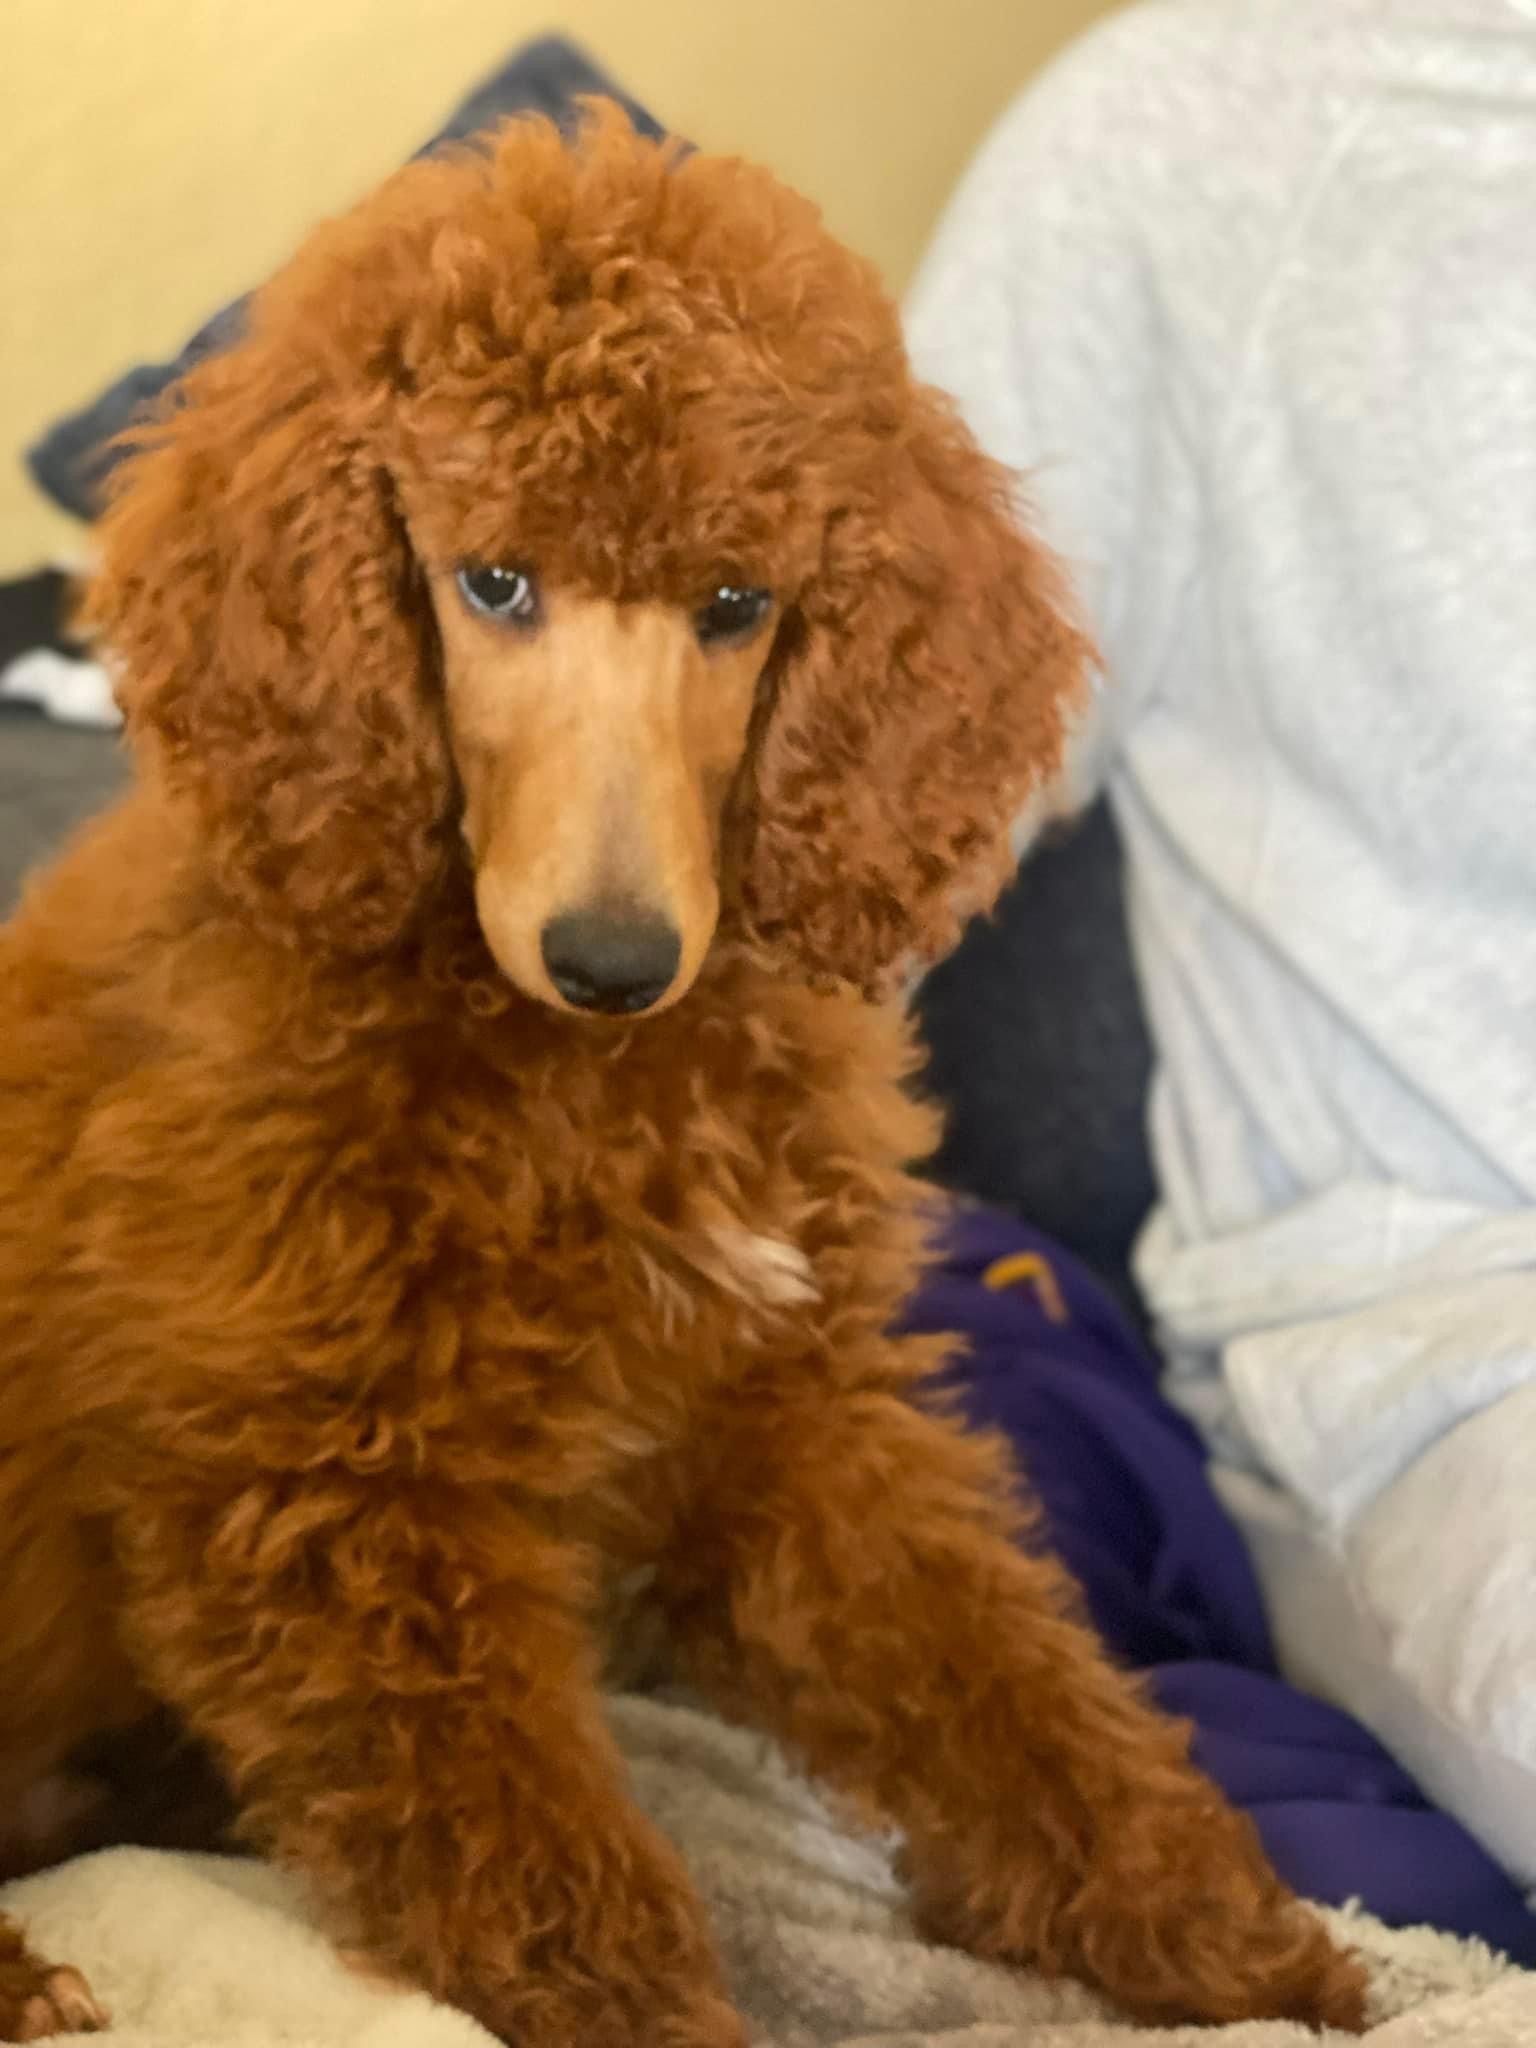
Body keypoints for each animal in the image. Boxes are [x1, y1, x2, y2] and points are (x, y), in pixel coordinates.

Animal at [0, 112, 1368, 2048]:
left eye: (736, 605)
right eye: (492, 580)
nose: (613, 956)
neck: (591, 1079)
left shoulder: (781, 1423)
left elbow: (1011, 1688)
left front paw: (1237, 1945)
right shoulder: (339, 1508)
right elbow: (556, 1885)